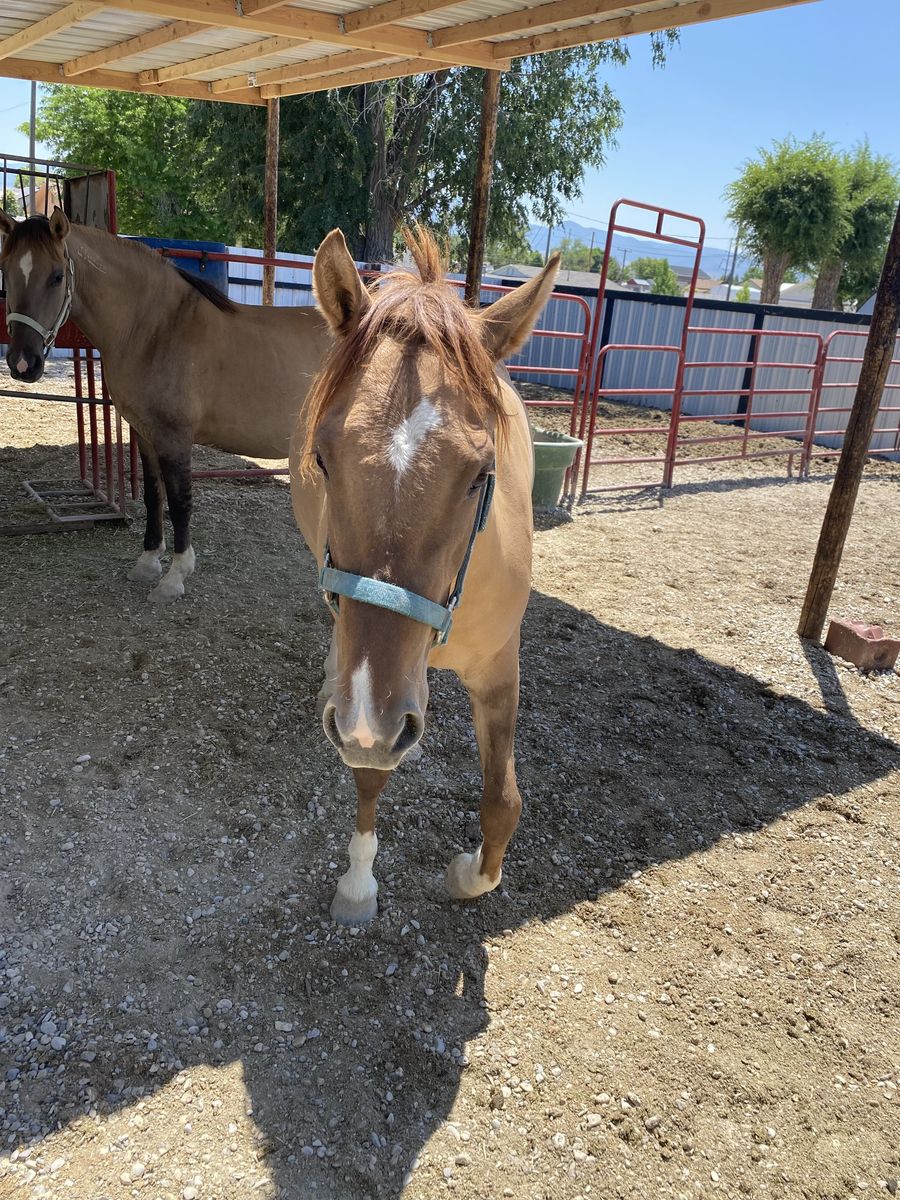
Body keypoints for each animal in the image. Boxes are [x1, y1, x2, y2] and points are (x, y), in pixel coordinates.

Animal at [0, 208, 329, 602]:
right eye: (5, 271)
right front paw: (147, 562)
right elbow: (153, 494)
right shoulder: (144, 432)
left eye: (56, 276)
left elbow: (179, 500)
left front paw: (174, 576)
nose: (23, 364)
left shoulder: (174, 437)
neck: (155, 330)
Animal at [290, 228, 559, 923]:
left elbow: (503, 802)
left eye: (481, 474)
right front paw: (358, 885)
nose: (361, 711)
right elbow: (369, 770)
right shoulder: (372, 708)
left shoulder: (499, 665)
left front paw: (469, 874)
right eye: (323, 458)